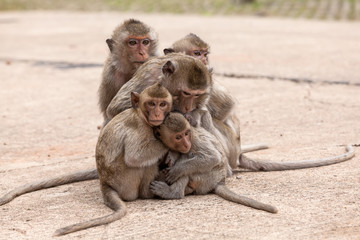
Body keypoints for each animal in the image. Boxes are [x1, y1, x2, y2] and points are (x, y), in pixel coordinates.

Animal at [150, 112, 278, 214]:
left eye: (186, 133)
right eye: (178, 137)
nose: (186, 144)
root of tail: (220, 181)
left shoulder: (194, 140)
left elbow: (213, 158)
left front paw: (177, 170)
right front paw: (172, 155)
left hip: (207, 178)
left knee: (190, 161)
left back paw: (174, 193)